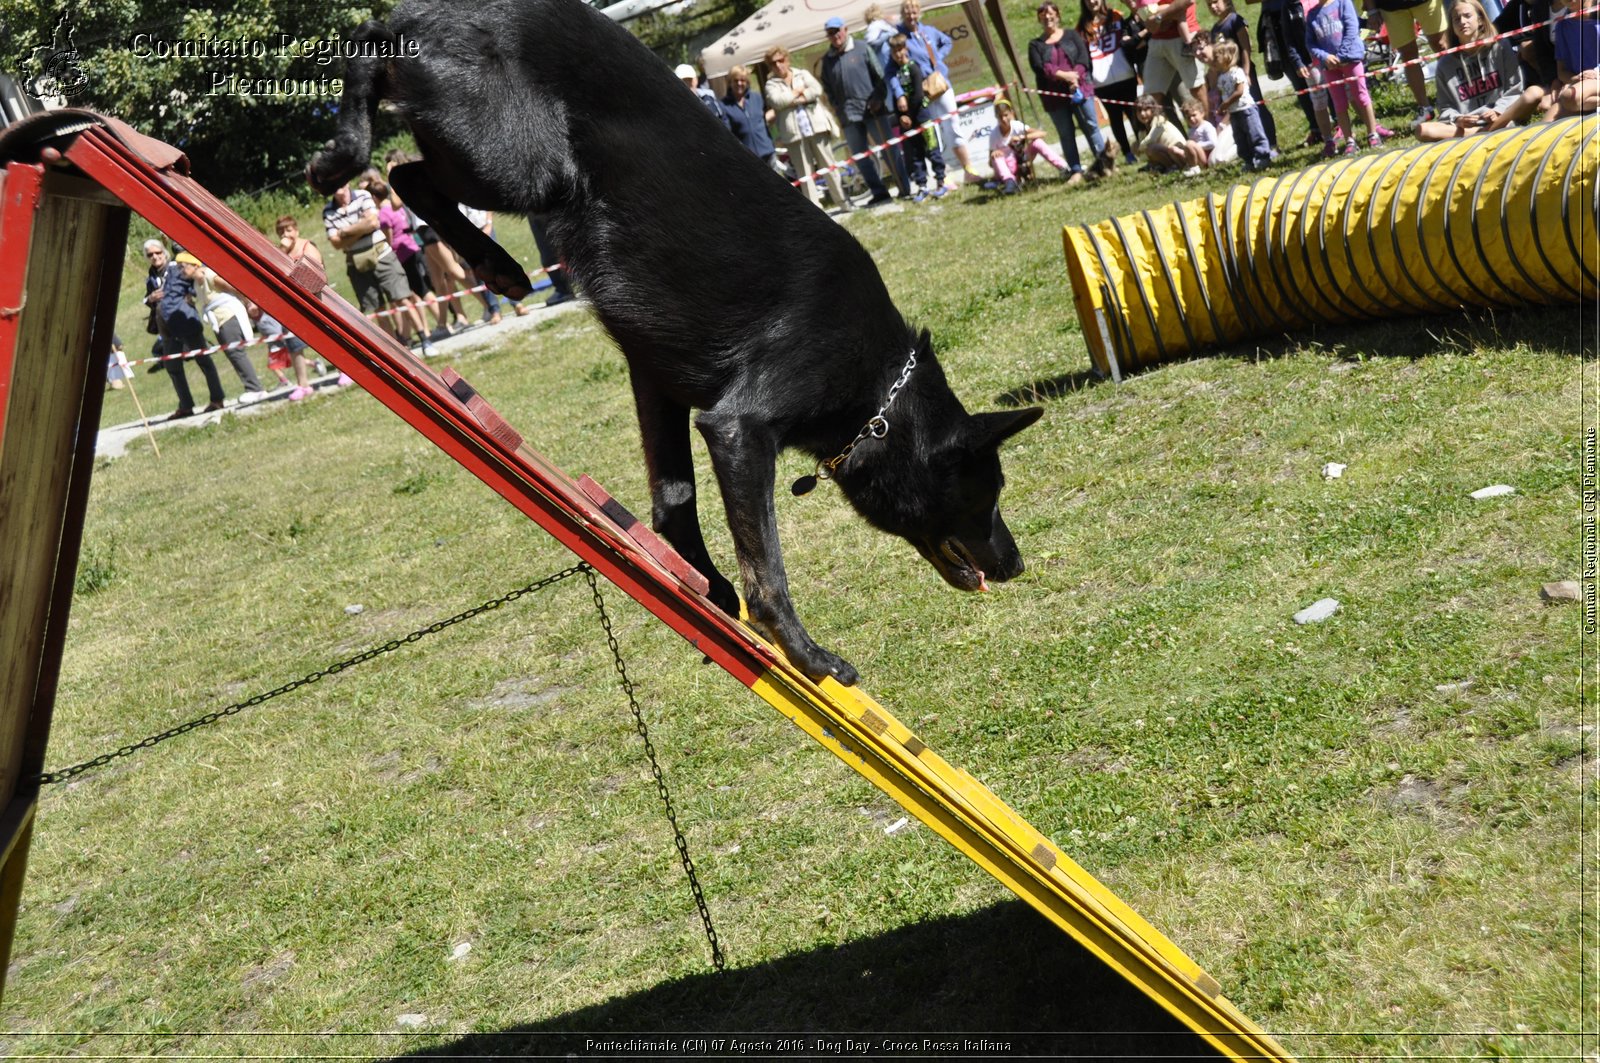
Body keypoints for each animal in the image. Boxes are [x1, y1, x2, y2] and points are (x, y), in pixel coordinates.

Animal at [307, 0, 1043, 681]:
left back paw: (484, 256)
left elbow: (674, 504)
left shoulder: (656, 383)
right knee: (385, 109)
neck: (876, 390)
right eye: (986, 493)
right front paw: (807, 655)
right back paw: (357, 166)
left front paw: (709, 592)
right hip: (524, 166)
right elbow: (767, 570)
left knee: (404, 164)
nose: (1015, 564)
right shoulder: (738, 427)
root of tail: (427, 11)